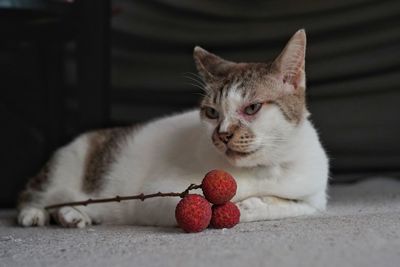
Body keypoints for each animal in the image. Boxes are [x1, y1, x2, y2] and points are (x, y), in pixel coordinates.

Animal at [17, 30, 328, 229]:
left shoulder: (315, 199)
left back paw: (74, 215)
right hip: (64, 169)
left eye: (251, 108)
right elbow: (218, 207)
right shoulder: (159, 197)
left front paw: (256, 203)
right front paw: (244, 205)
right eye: (212, 113)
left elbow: (292, 205)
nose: (222, 134)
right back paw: (36, 214)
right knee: (35, 194)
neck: (265, 169)